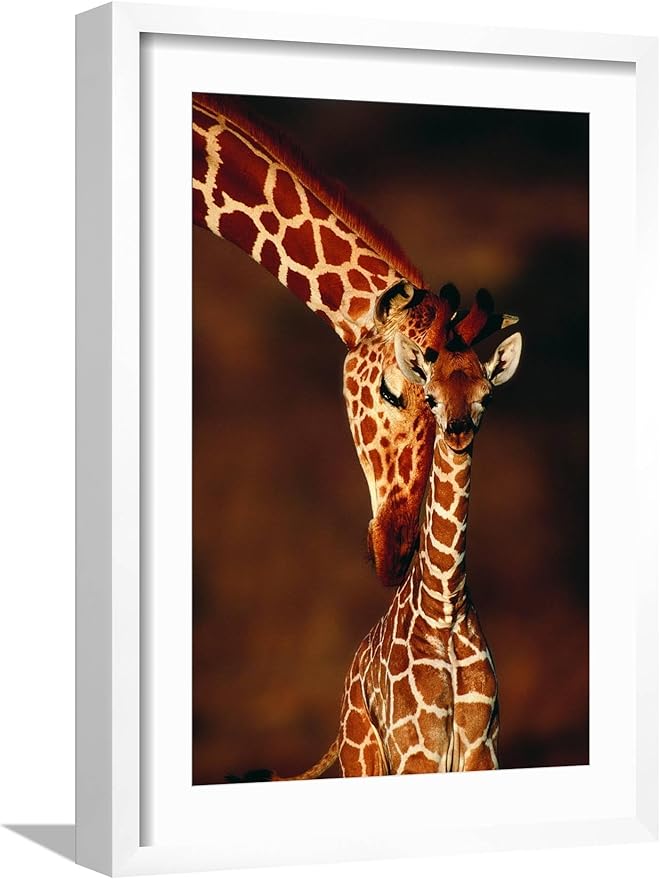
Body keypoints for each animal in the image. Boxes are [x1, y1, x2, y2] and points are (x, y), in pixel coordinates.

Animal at [252, 286, 522, 779]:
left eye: (487, 397)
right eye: (431, 397)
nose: (457, 432)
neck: (445, 607)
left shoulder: (482, 750)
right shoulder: (418, 751)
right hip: (364, 758)